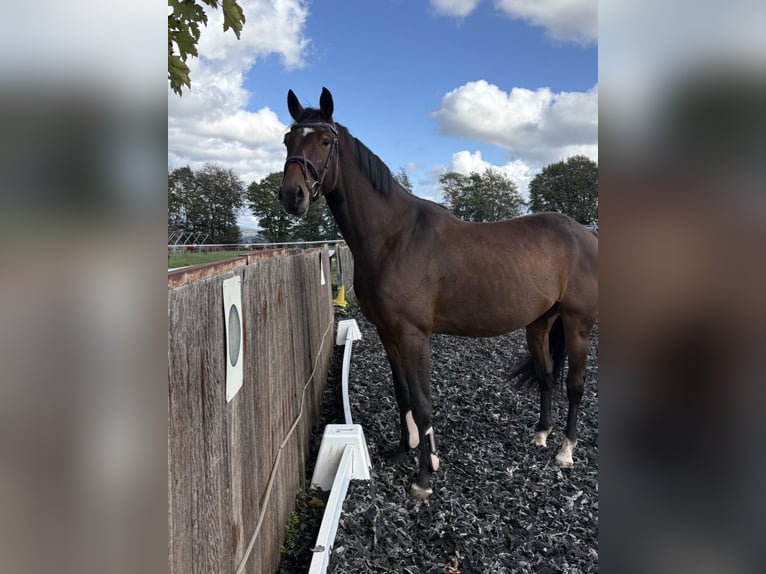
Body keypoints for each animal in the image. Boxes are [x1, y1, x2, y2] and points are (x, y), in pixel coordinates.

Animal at [278, 87, 598, 500]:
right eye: (288, 140)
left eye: (325, 140)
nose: (292, 195)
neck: (395, 237)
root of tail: (584, 234)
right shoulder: (388, 332)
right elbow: (402, 393)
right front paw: (404, 451)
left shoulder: (414, 335)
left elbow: (422, 402)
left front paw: (424, 477)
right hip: (540, 323)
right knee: (545, 375)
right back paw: (541, 435)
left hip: (577, 324)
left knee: (575, 386)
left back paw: (565, 451)